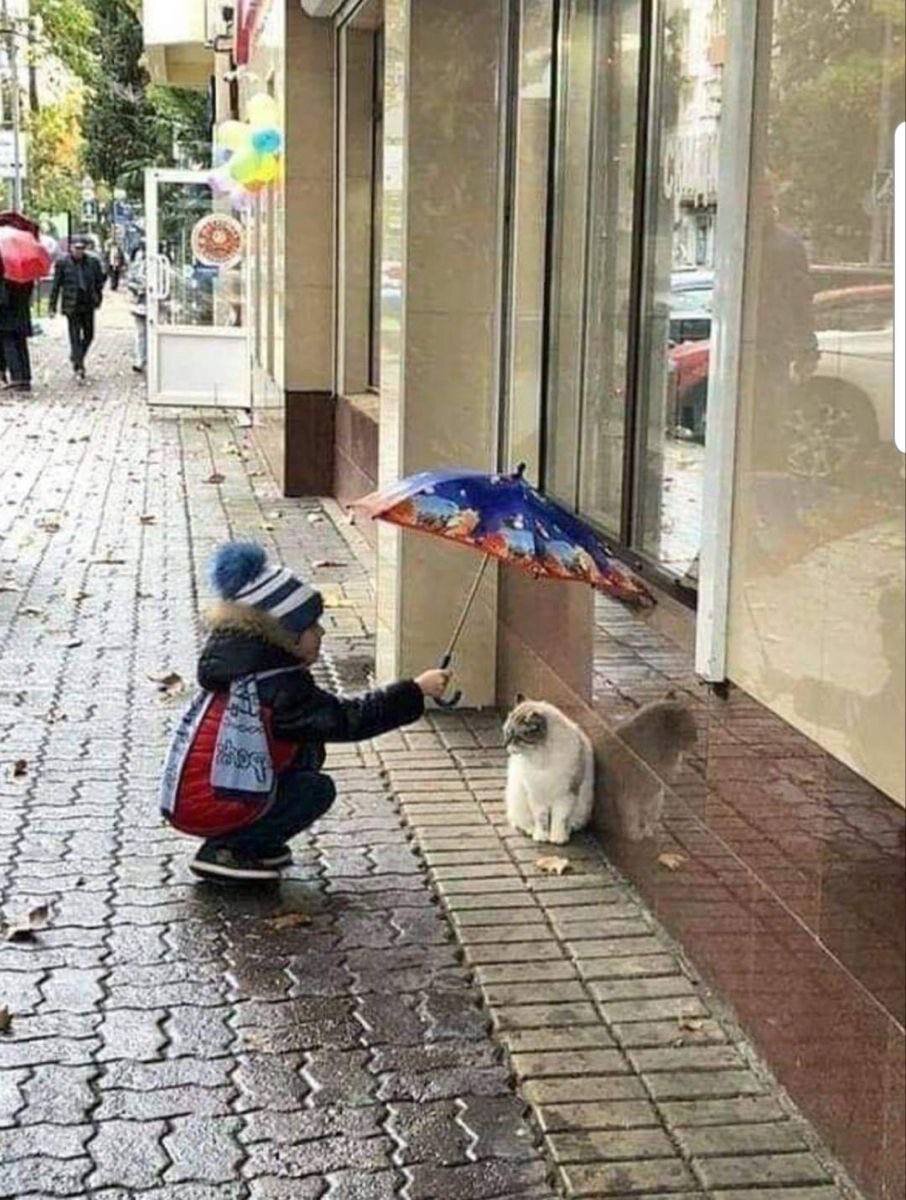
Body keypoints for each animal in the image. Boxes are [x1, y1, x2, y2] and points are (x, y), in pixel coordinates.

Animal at [504, 696, 595, 844]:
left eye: (516, 738)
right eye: (506, 734)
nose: (505, 746)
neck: (541, 758)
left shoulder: (566, 794)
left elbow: (560, 818)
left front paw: (558, 838)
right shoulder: (536, 794)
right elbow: (541, 819)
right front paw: (541, 836)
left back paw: (569, 829)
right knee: (519, 821)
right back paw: (530, 830)